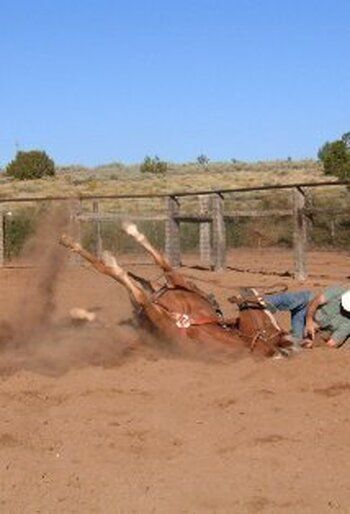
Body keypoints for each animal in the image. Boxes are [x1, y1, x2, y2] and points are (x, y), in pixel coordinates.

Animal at [59, 220, 292, 356]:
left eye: (269, 321)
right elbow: (156, 264)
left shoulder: (157, 308)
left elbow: (132, 281)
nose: (254, 293)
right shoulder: (175, 286)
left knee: (122, 276)